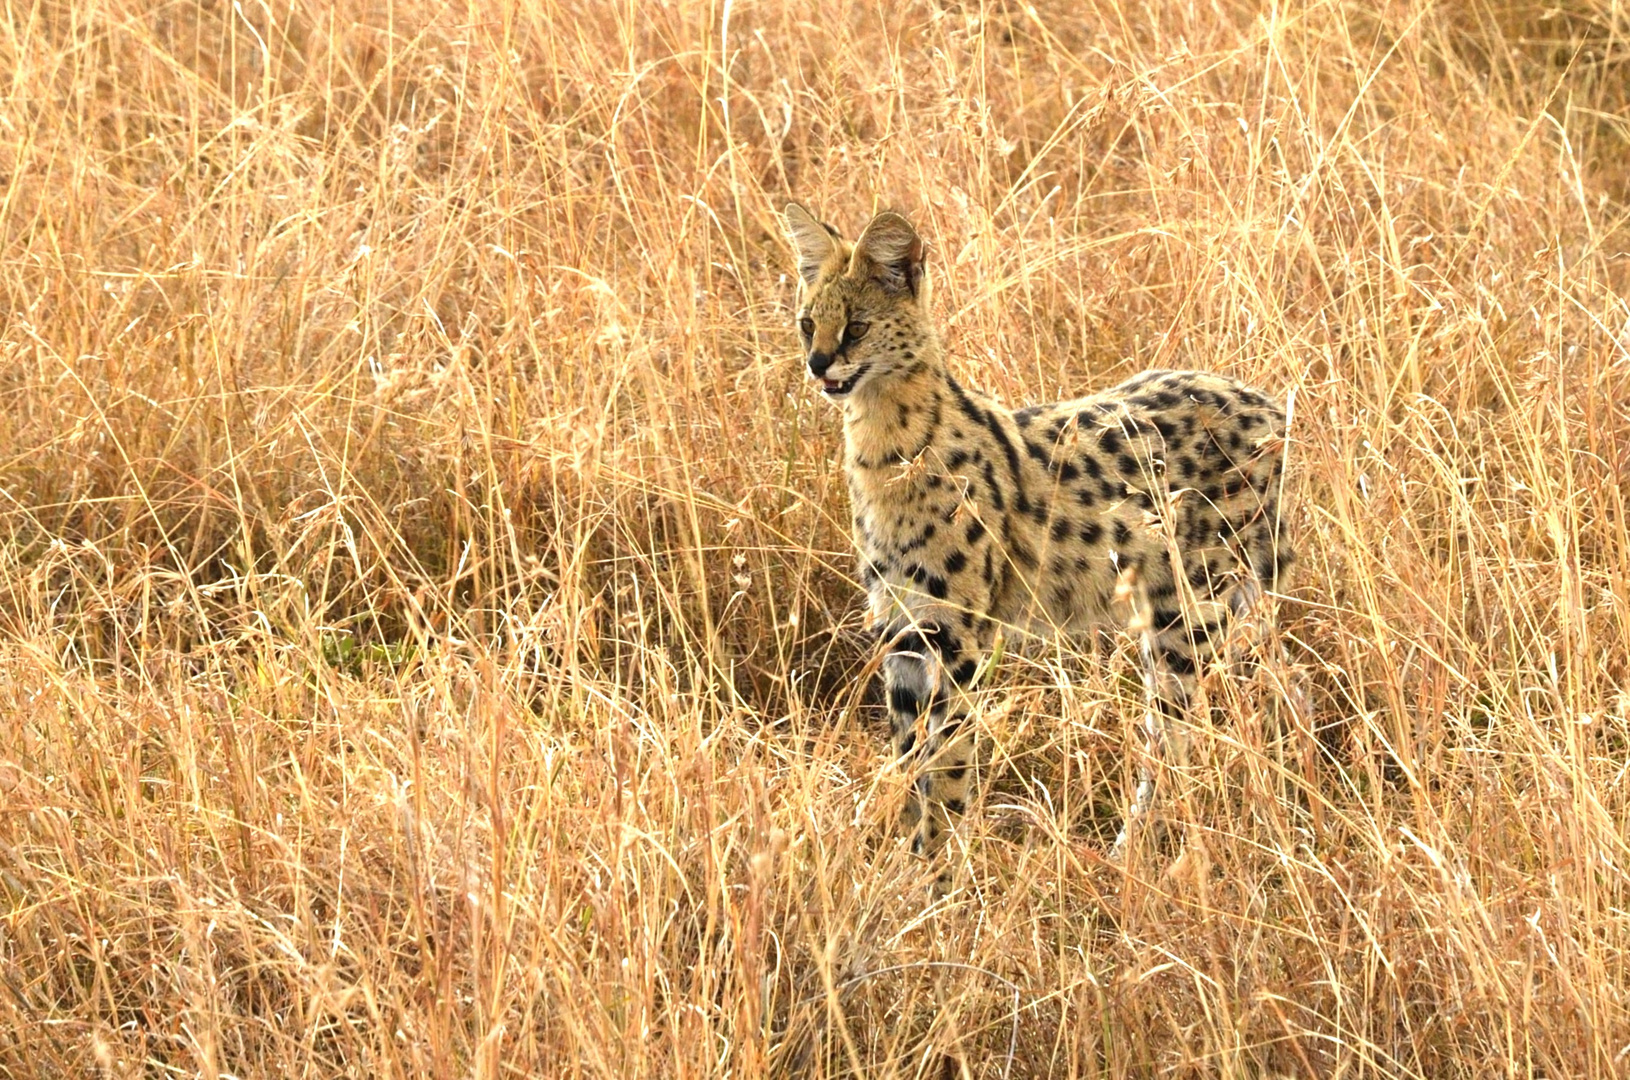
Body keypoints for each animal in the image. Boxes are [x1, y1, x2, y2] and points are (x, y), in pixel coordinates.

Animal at [782, 202, 1290, 860]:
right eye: (807, 324)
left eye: (858, 328)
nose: (818, 365)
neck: (885, 448)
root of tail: (1265, 402)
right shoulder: (903, 633)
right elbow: (910, 766)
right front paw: (910, 862)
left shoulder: (956, 639)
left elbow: (947, 771)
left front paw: (940, 873)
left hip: (1189, 617)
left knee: (1173, 738)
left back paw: (1134, 851)